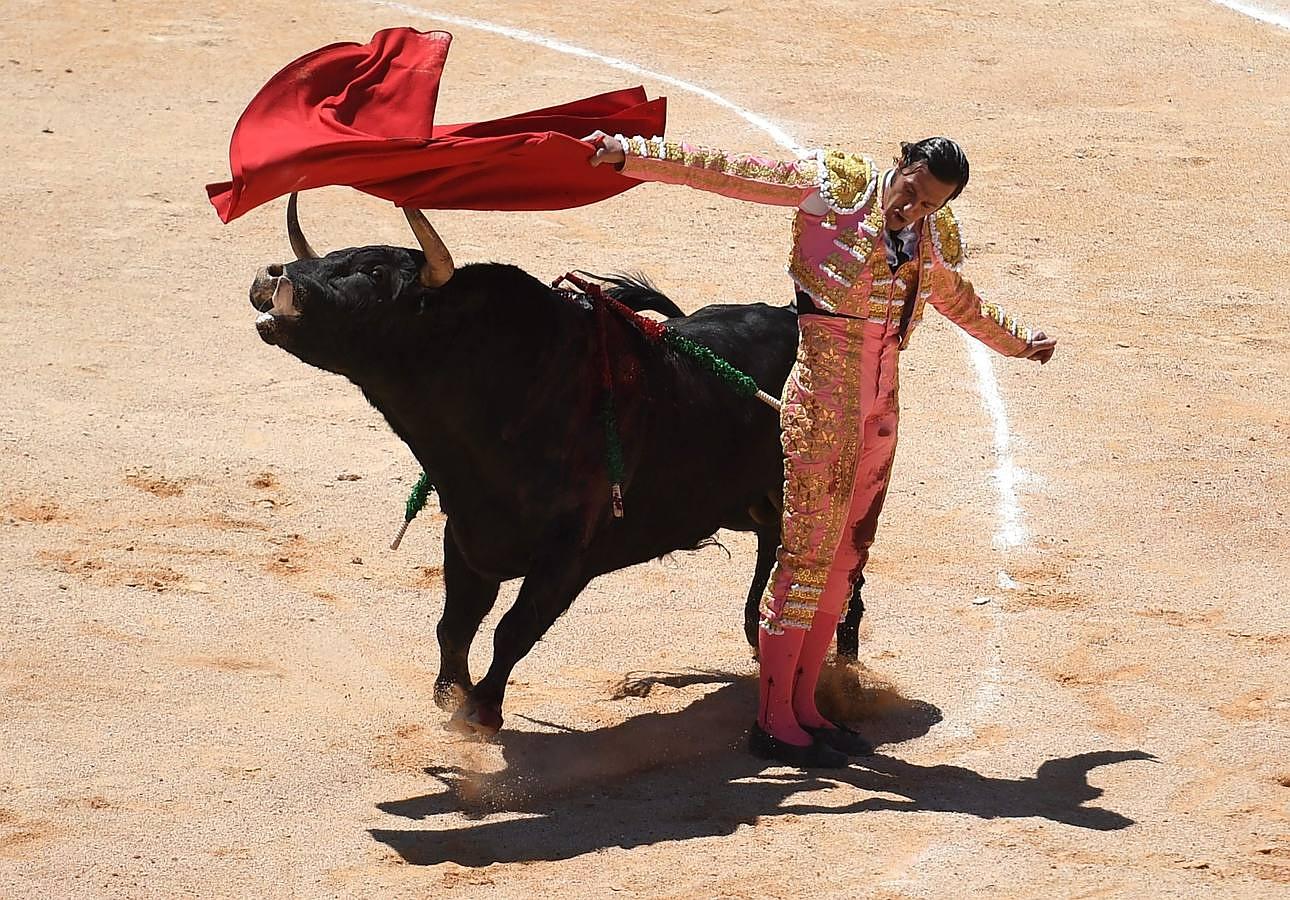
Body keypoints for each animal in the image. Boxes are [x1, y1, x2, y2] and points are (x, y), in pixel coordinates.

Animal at [246, 199, 861, 732]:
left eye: (373, 272)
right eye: (336, 255)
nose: (273, 277)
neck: (517, 396)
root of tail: (792, 314)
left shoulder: (569, 558)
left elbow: (513, 630)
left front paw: (481, 712)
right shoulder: (466, 535)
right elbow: (455, 624)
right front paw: (451, 694)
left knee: (835, 571)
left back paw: (840, 669)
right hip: (746, 504)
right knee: (773, 549)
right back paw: (763, 638)